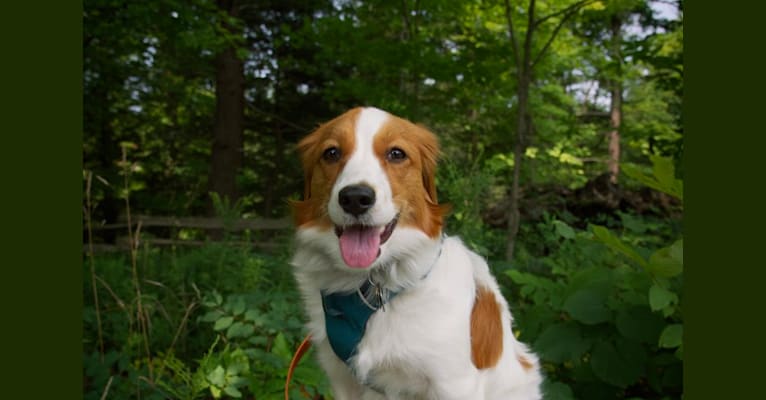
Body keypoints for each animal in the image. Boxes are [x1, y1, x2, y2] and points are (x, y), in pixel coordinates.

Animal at [292, 107, 544, 400]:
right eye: (331, 153)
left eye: (396, 154)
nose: (355, 198)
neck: (377, 286)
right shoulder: (343, 379)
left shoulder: (454, 383)